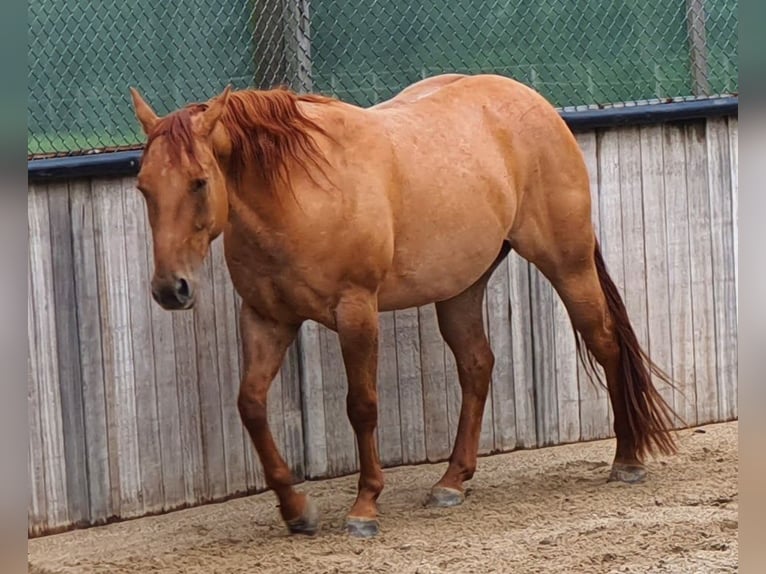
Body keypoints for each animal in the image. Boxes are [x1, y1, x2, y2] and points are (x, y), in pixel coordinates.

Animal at [128, 73, 679, 538]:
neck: (298, 190)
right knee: (477, 365)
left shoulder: (356, 312)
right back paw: (452, 481)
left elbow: (362, 406)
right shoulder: (267, 318)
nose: (171, 289)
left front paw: (364, 507)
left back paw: (627, 460)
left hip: (568, 264)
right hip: (461, 286)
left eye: (200, 181)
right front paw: (296, 510)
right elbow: (251, 405)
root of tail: (534, 102)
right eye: (144, 187)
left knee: (604, 343)